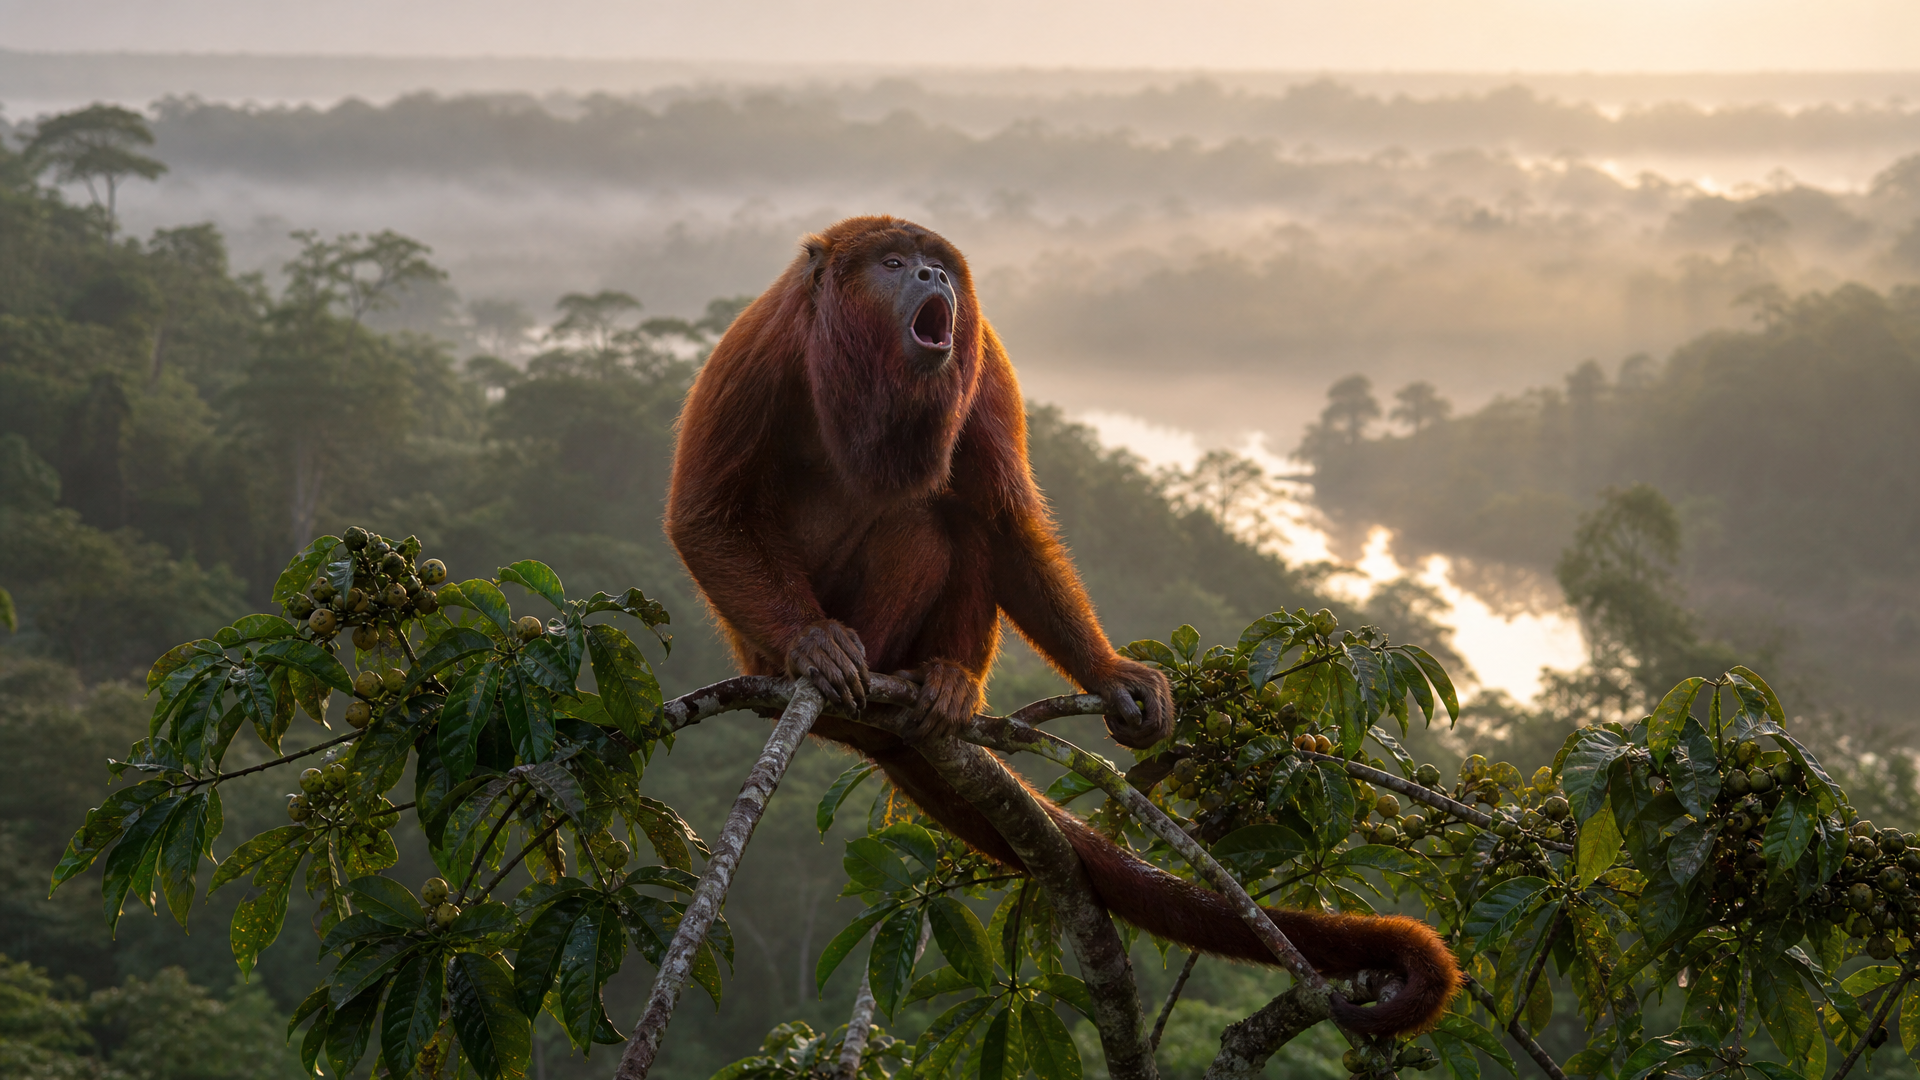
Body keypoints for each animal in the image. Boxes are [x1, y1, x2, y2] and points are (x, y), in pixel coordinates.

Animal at [665, 215, 1458, 1035]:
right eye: (892, 263)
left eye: (935, 264)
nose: (933, 278)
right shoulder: (758, 348)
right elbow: (703, 511)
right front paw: (814, 645)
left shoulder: (985, 355)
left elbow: (1006, 524)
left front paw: (1110, 675)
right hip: (759, 642)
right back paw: (849, 668)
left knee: (950, 519)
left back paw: (944, 682)